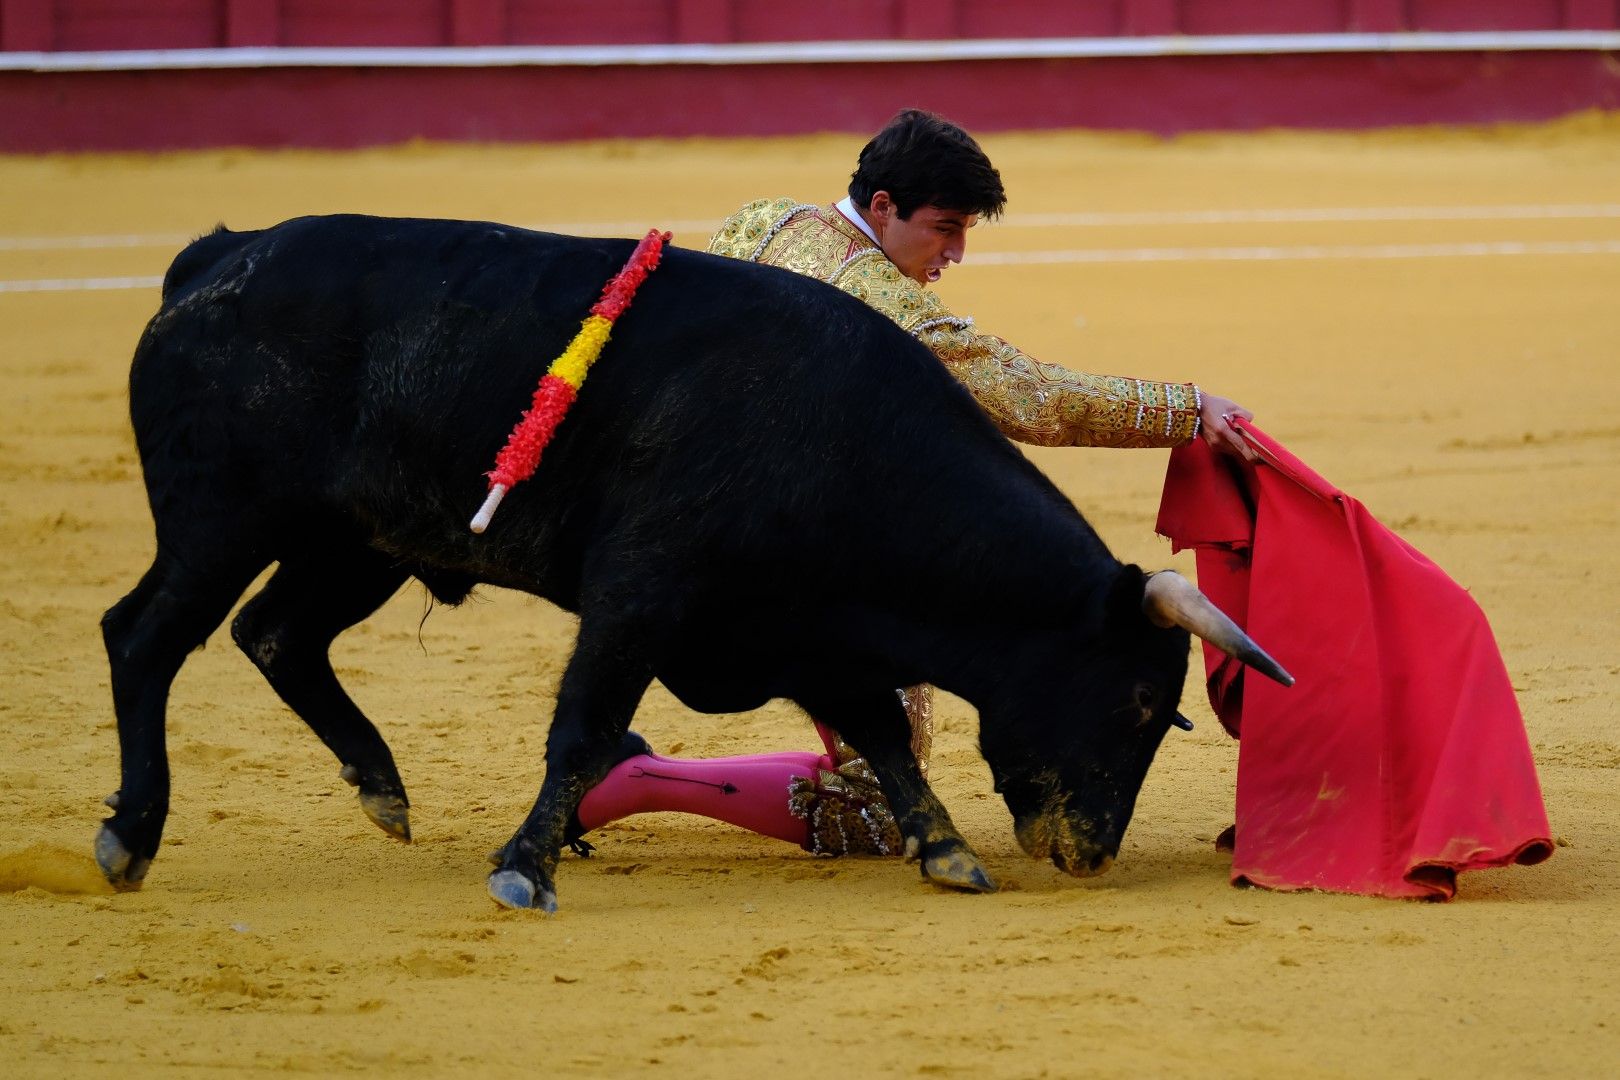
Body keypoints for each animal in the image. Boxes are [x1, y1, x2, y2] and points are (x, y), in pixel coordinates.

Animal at [101, 215, 1289, 906]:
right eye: (1141, 703)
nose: (1090, 852)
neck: (844, 445)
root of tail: (216, 257)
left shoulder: (814, 632)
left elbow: (881, 739)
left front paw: (948, 851)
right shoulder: (637, 601)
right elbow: (581, 730)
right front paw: (521, 867)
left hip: (358, 541)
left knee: (277, 634)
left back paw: (381, 790)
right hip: (221, 522)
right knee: (145, 636)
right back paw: (129, 836)